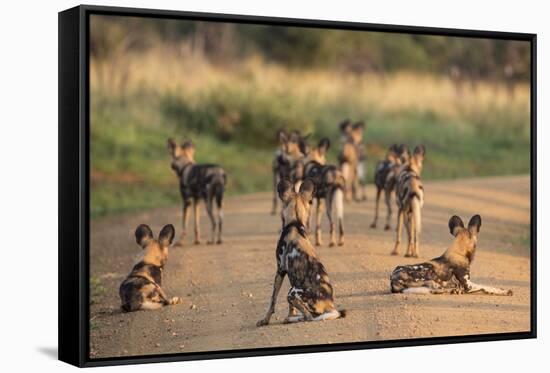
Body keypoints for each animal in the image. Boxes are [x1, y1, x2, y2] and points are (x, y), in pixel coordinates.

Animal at [258, 179, 344, 324]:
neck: (295, 222)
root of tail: (329, 305)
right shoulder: (291, 275)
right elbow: (290, 307)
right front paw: (290, 313)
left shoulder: (280, 269)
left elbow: (272, 300)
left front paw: (265, 320)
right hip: (294, 290)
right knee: (308, 315)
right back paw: (291, 318)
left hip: (292, 292)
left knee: (309, 317)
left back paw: (291, 319)